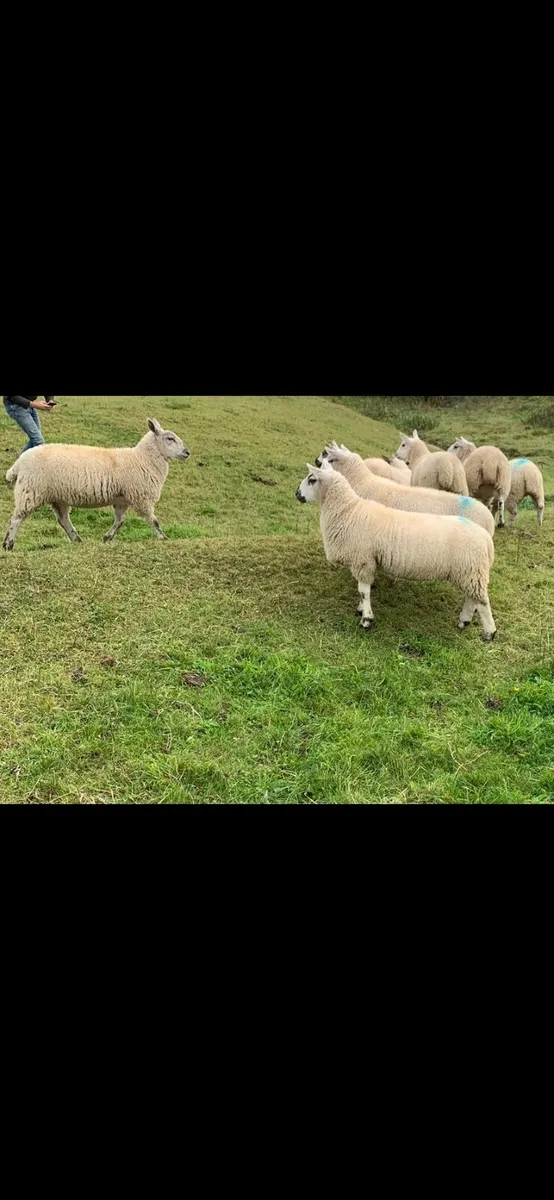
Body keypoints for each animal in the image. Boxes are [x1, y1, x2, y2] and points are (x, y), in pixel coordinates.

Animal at [3, 419, 190, 550]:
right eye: (170, 438)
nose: (187, 452)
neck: (142, 458)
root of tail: (19, 463)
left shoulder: (122, 500)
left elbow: (120, 521)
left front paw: (107, 538)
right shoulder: (141, 498)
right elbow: (153, 520)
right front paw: (163, 538)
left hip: (57, 497)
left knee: (63, 520)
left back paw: (77, 539)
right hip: (30, 492)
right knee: (17, 518)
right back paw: (8, 544)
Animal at [295, 459, 497, 641]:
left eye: (312, 479)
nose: (297, 494)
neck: (349, 512)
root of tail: (486, 538)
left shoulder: (363, 560)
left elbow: (364, 591)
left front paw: (366, 620)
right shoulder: (363, 562)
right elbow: (361, 590)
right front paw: (360, 610)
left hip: (472, 572)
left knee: (483, 603)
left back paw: (489, 633)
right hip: (470, 572)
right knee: (472, 599)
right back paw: (463, 621)